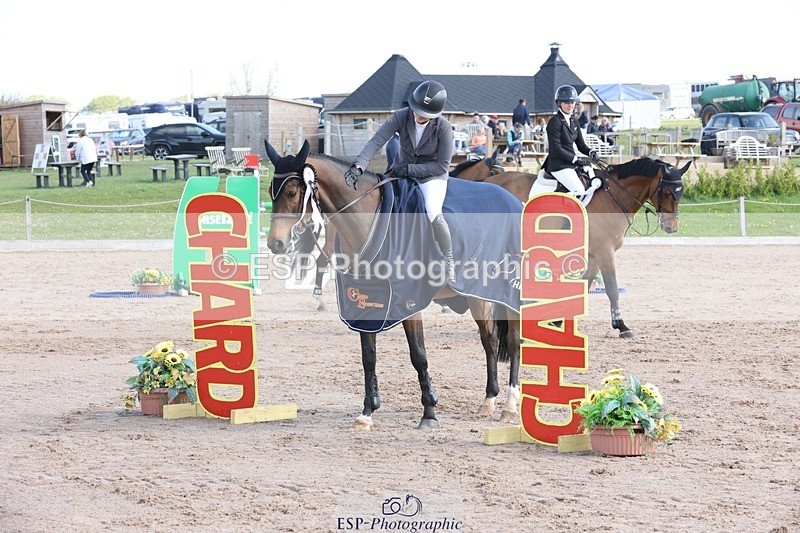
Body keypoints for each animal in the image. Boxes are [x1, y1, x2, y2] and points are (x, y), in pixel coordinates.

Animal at [265, 140, 521, 430]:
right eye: (271, 192)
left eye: (292, 192)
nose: (275, 244)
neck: (371, 219)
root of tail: (513, 200)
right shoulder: (363, 302)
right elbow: (368, 358)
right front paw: (367, 411)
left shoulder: (409, 301)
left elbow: (418, 356)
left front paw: (429, 412)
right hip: (478, 294)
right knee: (489, 340)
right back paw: (489, 400)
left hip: (509, 293)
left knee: (513, 342)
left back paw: (510, 405)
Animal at [451, 157, 690, 338]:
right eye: (666, 192)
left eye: (681, 193)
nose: (671, 227)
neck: (613, 197)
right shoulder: (605, 252)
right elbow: (612, 289)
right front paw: (622, 326)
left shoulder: (594, 255)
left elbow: (585, 286)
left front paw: (559, 321)